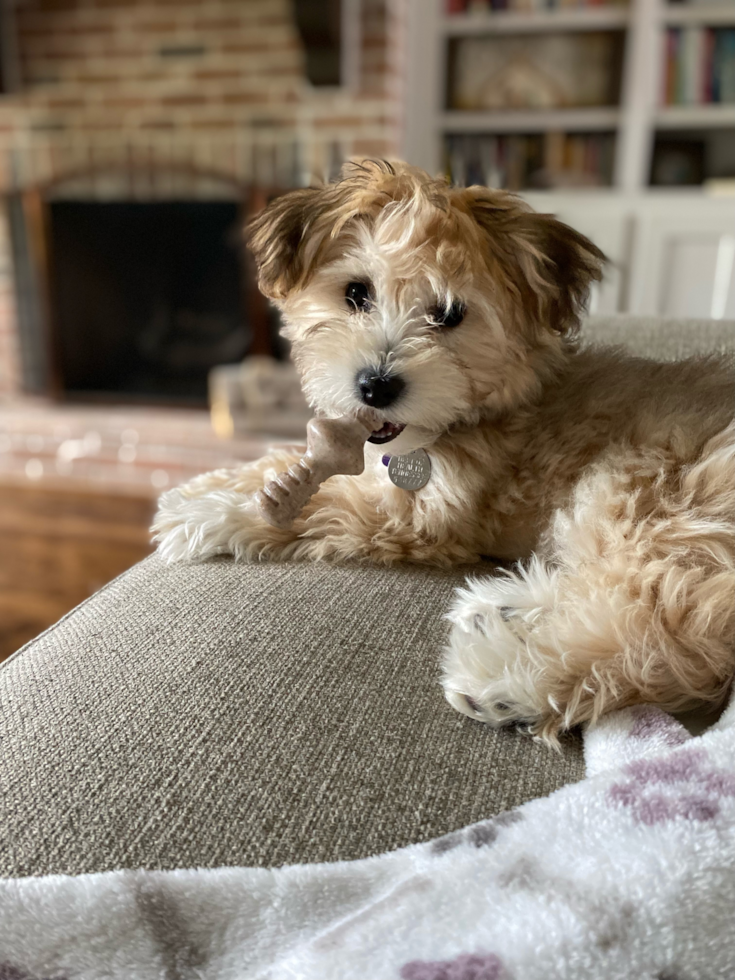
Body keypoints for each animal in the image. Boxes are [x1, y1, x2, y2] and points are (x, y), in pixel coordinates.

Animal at [152, 161, 732, 744]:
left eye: (450, 313)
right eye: (356, 293)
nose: (376, 386)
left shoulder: (420, 514)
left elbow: (324, 503)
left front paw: (210, 513)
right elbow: (293, 464)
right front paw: (211, 483)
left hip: (648, 492)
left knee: (667, 625)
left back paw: (507, 678)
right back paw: (501, 607)